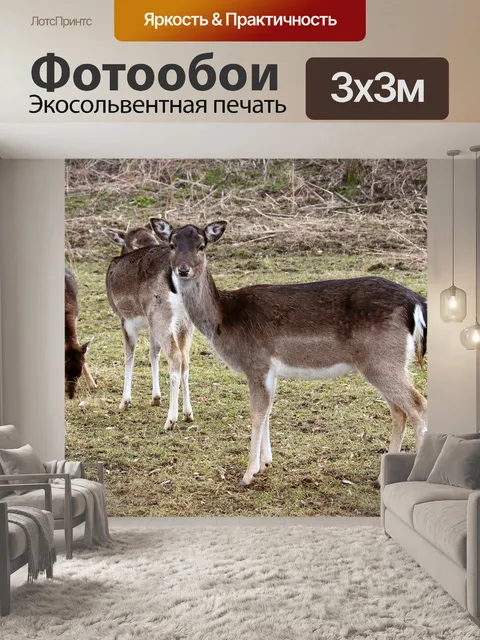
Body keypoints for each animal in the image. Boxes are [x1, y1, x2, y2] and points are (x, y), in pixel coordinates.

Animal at [105, 226, 194, 430]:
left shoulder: (125, 319)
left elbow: (129, 356)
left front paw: (124, 401)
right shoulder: (150, 325)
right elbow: (153, 354)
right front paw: (155, 397)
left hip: (160, 314)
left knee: (175, 357)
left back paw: (170, 420)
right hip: (185, 321)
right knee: (185, 358)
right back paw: (188, 413)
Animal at [149, 218, 428, 487]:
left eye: (202, 246)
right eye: (172, 244)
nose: (183, 270)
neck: (223, 319)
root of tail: (415, 301)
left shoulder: (257, 363)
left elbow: (257, 413)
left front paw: (248, 474)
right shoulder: (270, 370)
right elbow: (268, 411)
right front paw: (266, 463)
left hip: (381, 359)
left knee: (418, 405)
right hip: (388, 362)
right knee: (399, 412)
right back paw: (382, 477)